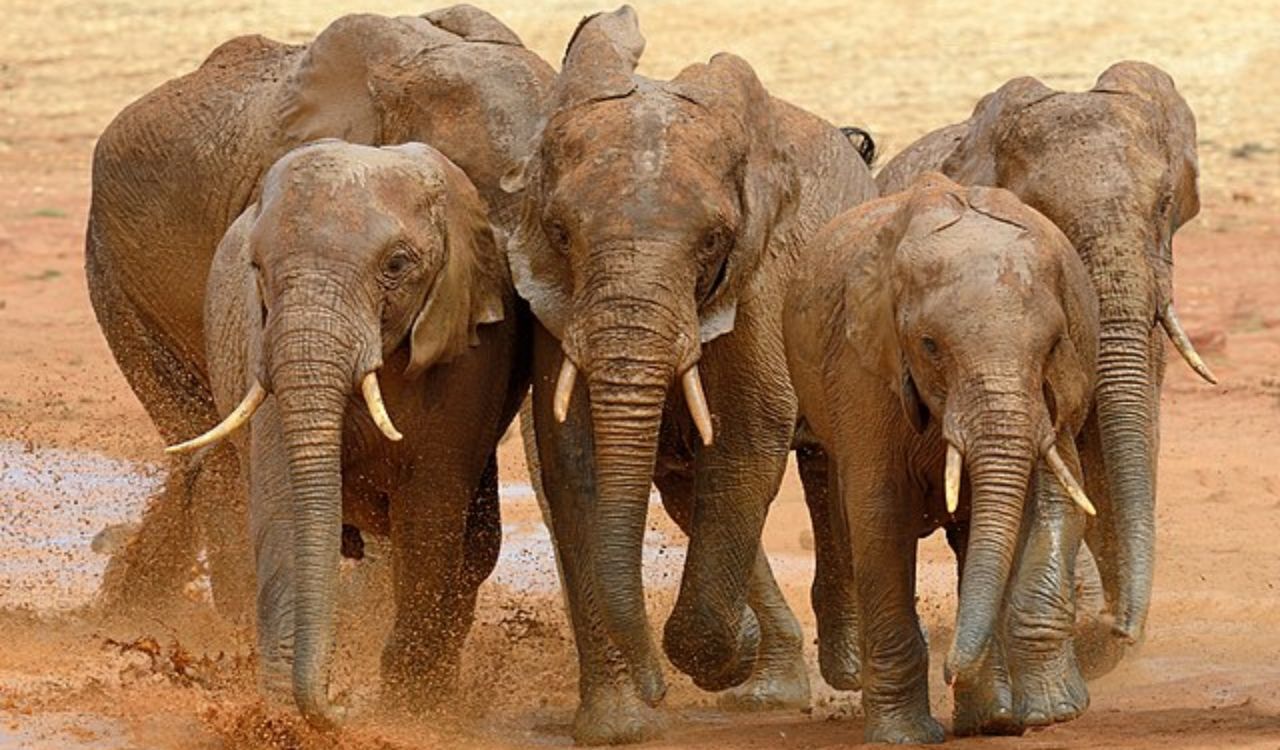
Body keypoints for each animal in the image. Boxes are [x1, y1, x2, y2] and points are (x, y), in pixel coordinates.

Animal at [164, 139, 525, 726]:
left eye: (397, 265)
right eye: (257, 267)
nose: (340, 703)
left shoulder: (469, 352)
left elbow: (430, 514)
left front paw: (407, 707)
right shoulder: (264, 345)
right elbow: (286, 504)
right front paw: (283, 719)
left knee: (474, 547)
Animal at [502, 7, 878, 743]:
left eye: (712, 242)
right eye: (560, 234)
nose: (654, 692)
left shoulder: (760, 275)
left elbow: (751, 432)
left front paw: (720, 653)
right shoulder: (556, 305)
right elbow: (575, 457)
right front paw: (623, 723)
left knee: (828, 467)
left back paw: (846, 671)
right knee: (689, 491)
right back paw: (768, 687)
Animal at [784, 173, 1101, 742]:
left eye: (1052, 345)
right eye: (930, 345)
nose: (952, 670)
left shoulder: (1058, 387)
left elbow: (1057, 498)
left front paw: (1052, 712)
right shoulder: (864, 369)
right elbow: (879, 512)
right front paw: (903, 738)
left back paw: (992, 717)